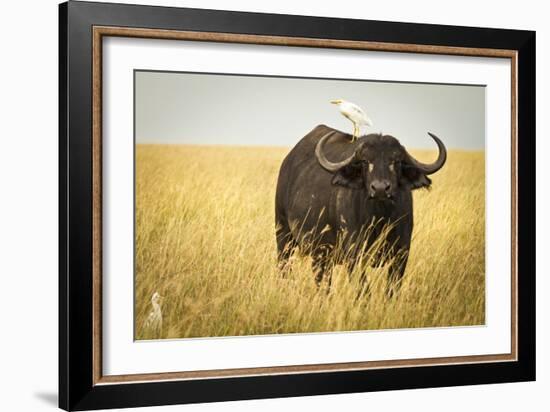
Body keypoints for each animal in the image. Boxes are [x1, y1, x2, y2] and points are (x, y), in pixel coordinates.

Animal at [276, 123, 448, 292]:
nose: (380, 189)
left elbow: (391, 289)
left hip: (321, 255)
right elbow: (364, 290)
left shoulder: (401, 254)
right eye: (365, 161)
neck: (380, 217)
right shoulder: (355, 255)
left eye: (396, 161)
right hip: (284, 236)